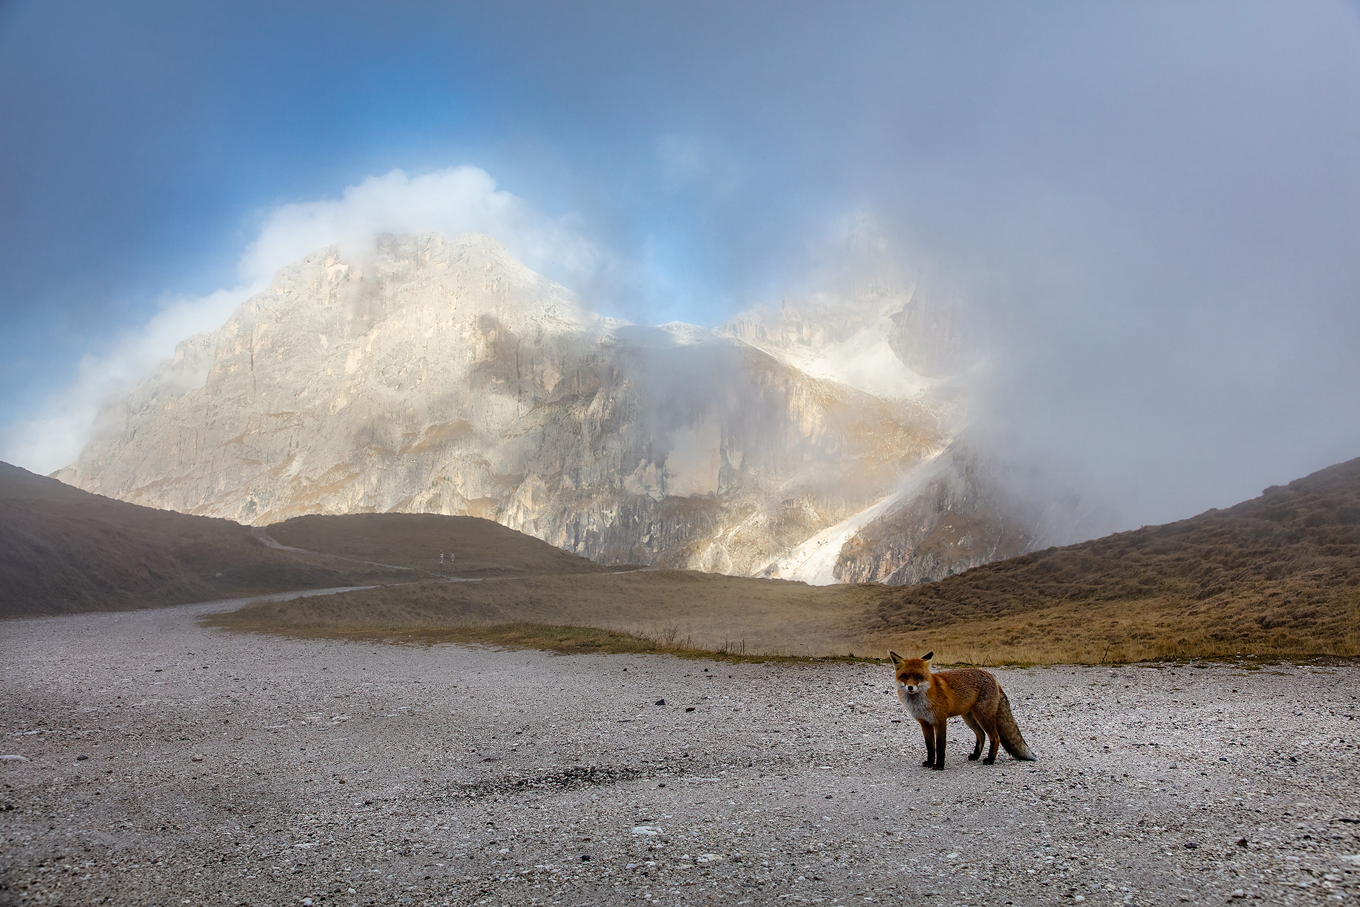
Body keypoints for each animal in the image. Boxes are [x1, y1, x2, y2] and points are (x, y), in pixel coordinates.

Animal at [886, 649, 1033, 772]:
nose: (910, 687)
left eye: (918, 676)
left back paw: (990, 760)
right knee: (981, 735)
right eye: (905, 676)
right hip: (969, 718)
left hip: (983, 717)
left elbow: (940, 746)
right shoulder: (924, 722)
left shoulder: (940, 721)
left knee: (995, 737)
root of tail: (992, 677)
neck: (921, 701)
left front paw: (939, 765)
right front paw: (930, 762)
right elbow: (930, 746)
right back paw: (975, 756)